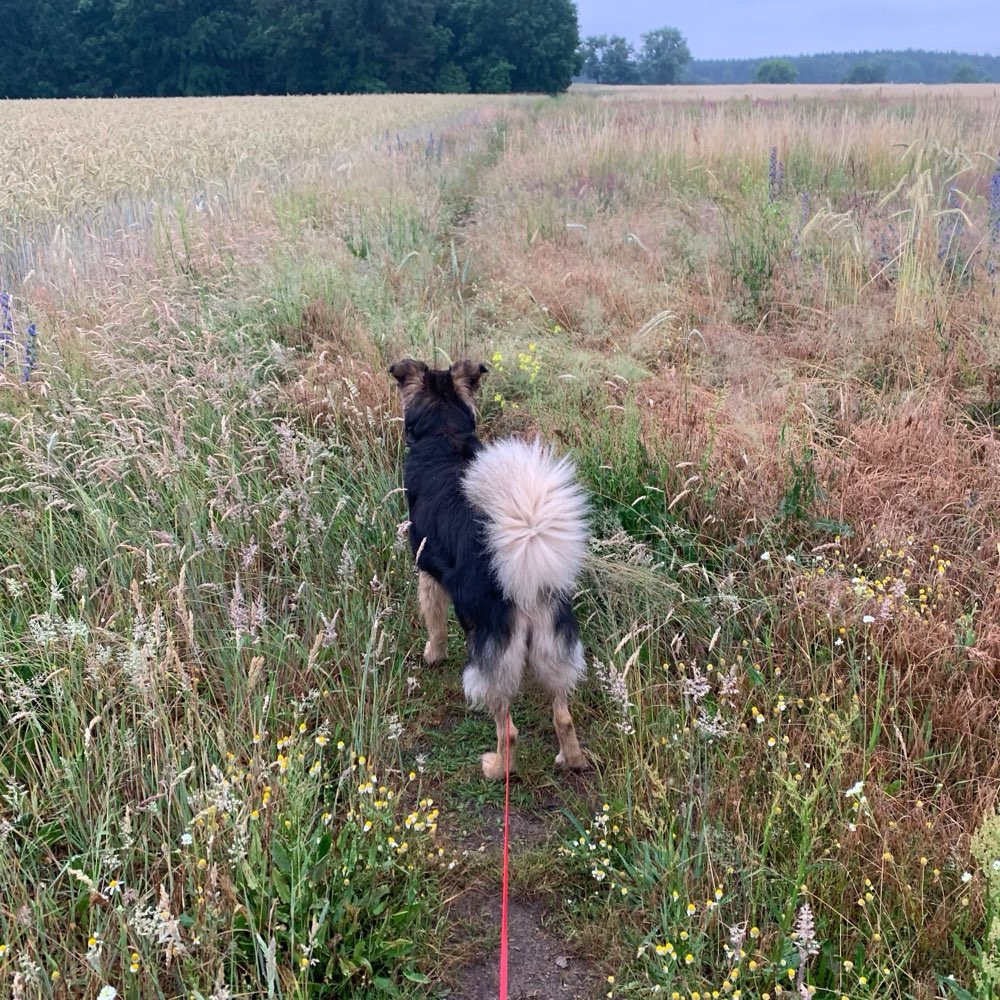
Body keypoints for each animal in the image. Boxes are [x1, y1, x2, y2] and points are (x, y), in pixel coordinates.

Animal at [388, 360, 592, 780]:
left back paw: (495, 768)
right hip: (555, 652)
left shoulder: (427, 573)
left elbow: (434, 623)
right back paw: (572, 760)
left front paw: (432, 655)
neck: (445, 434)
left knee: (508, 731)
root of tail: (526, 589)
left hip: (489, 666)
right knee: (563, 717)